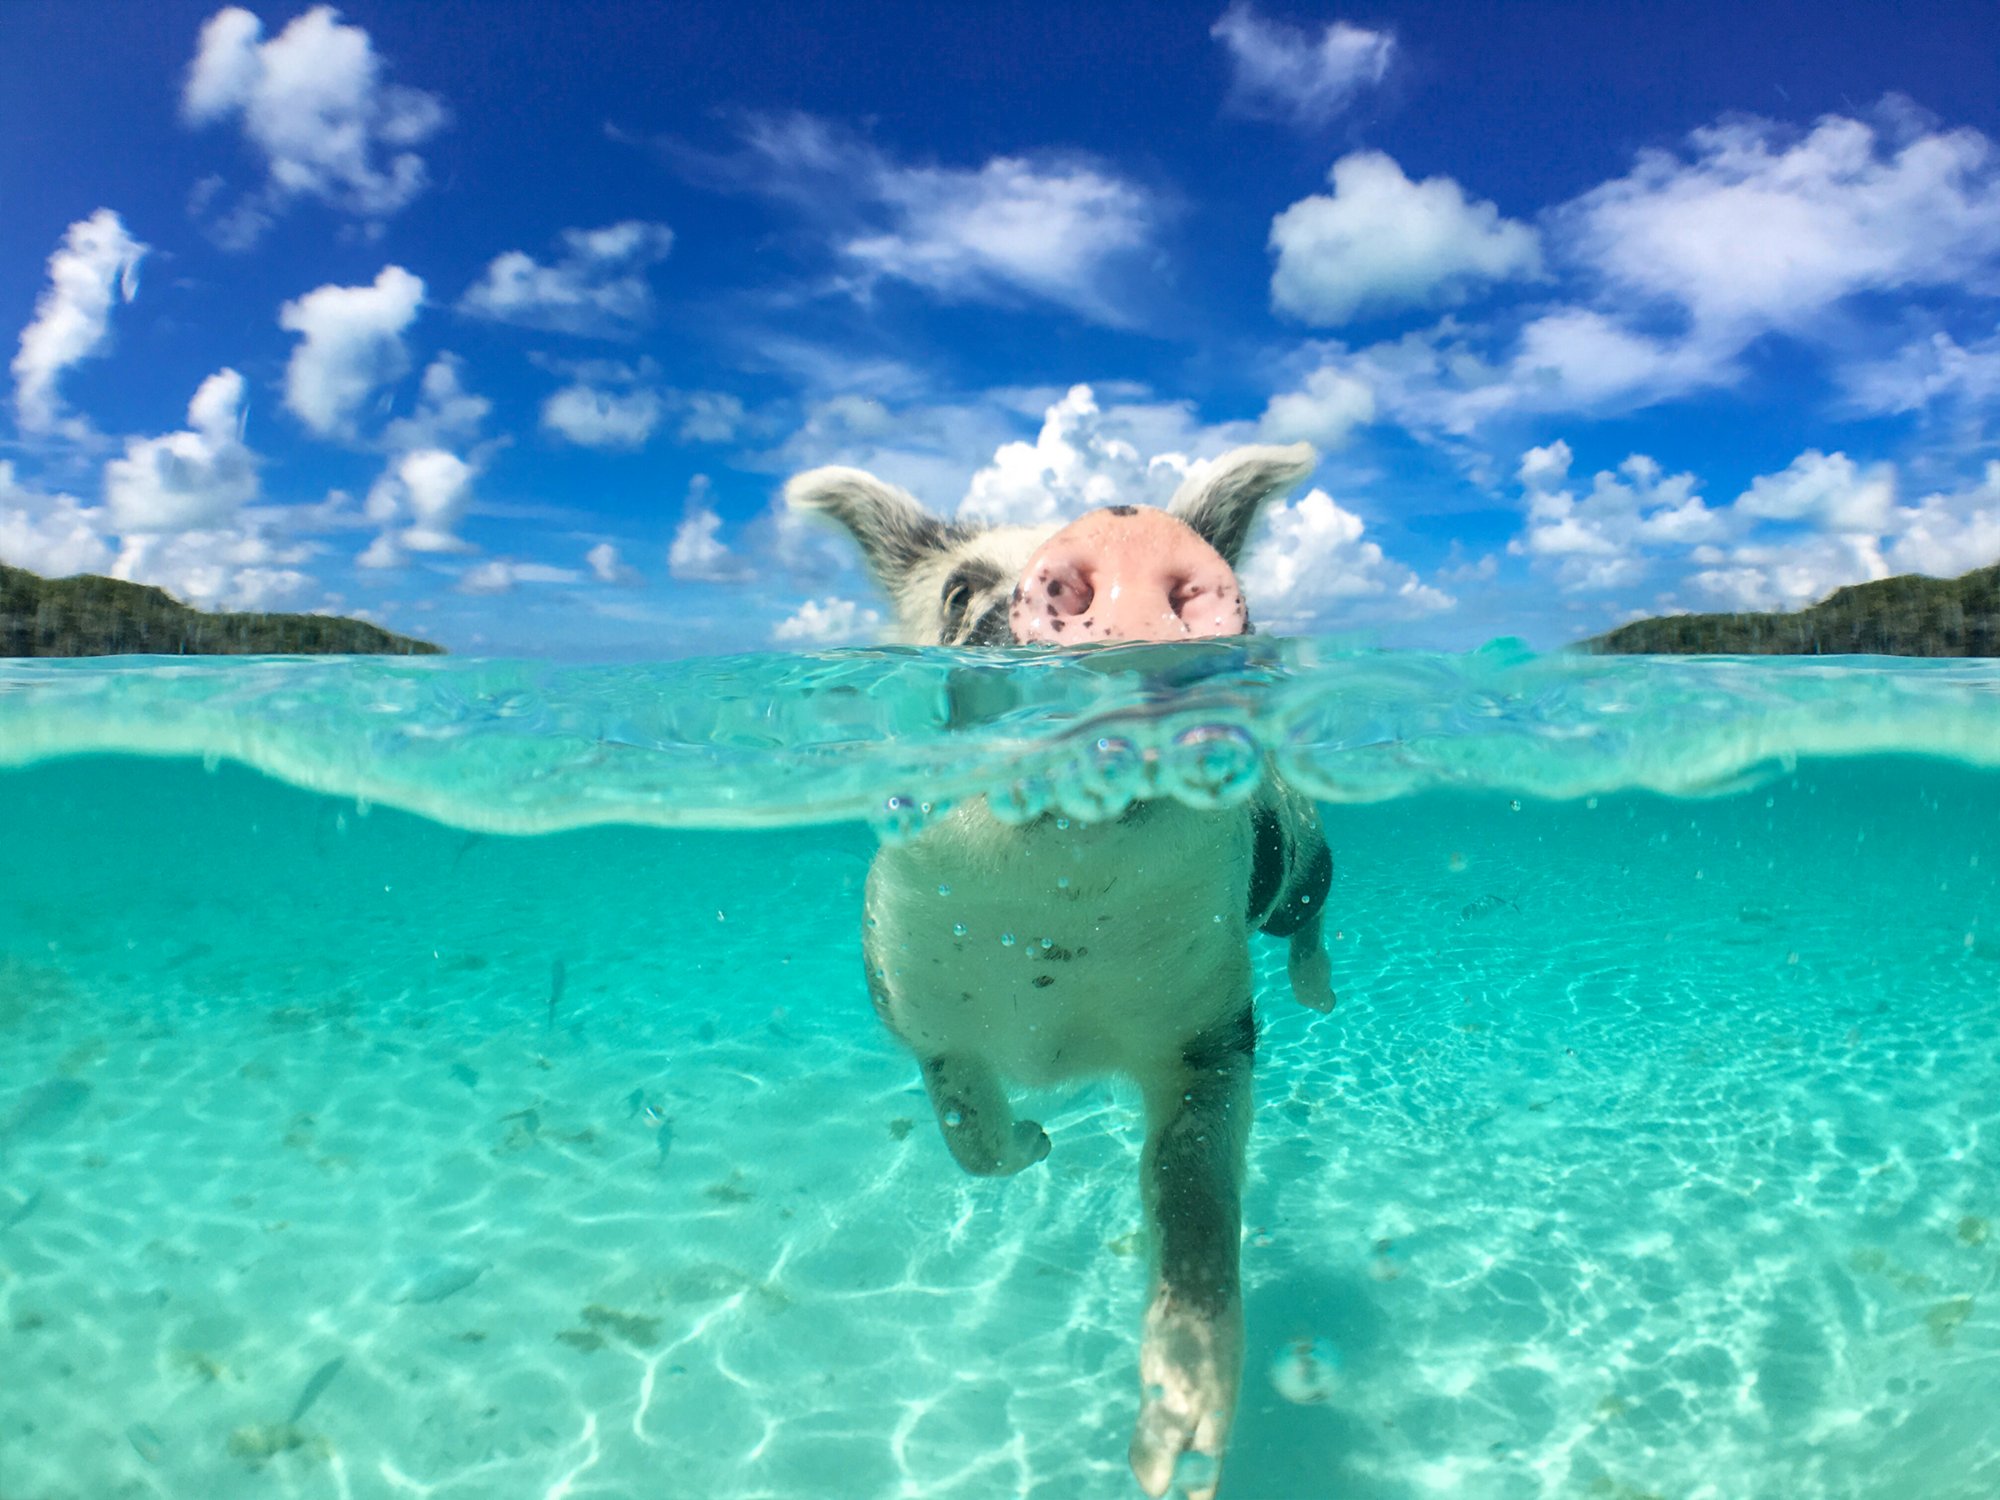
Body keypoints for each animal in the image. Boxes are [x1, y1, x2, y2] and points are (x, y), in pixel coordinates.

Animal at [788, 446, 1336, 1500]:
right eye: (959, 593)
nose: (1126, 532)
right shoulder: (915, 1003)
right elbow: (966, 1131)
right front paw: (1038, 1143)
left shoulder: (1213, 1027)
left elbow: (1194, 1192)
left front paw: (1178, 1458)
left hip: (1299, 855)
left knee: (1308, 913)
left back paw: (1319, 990)